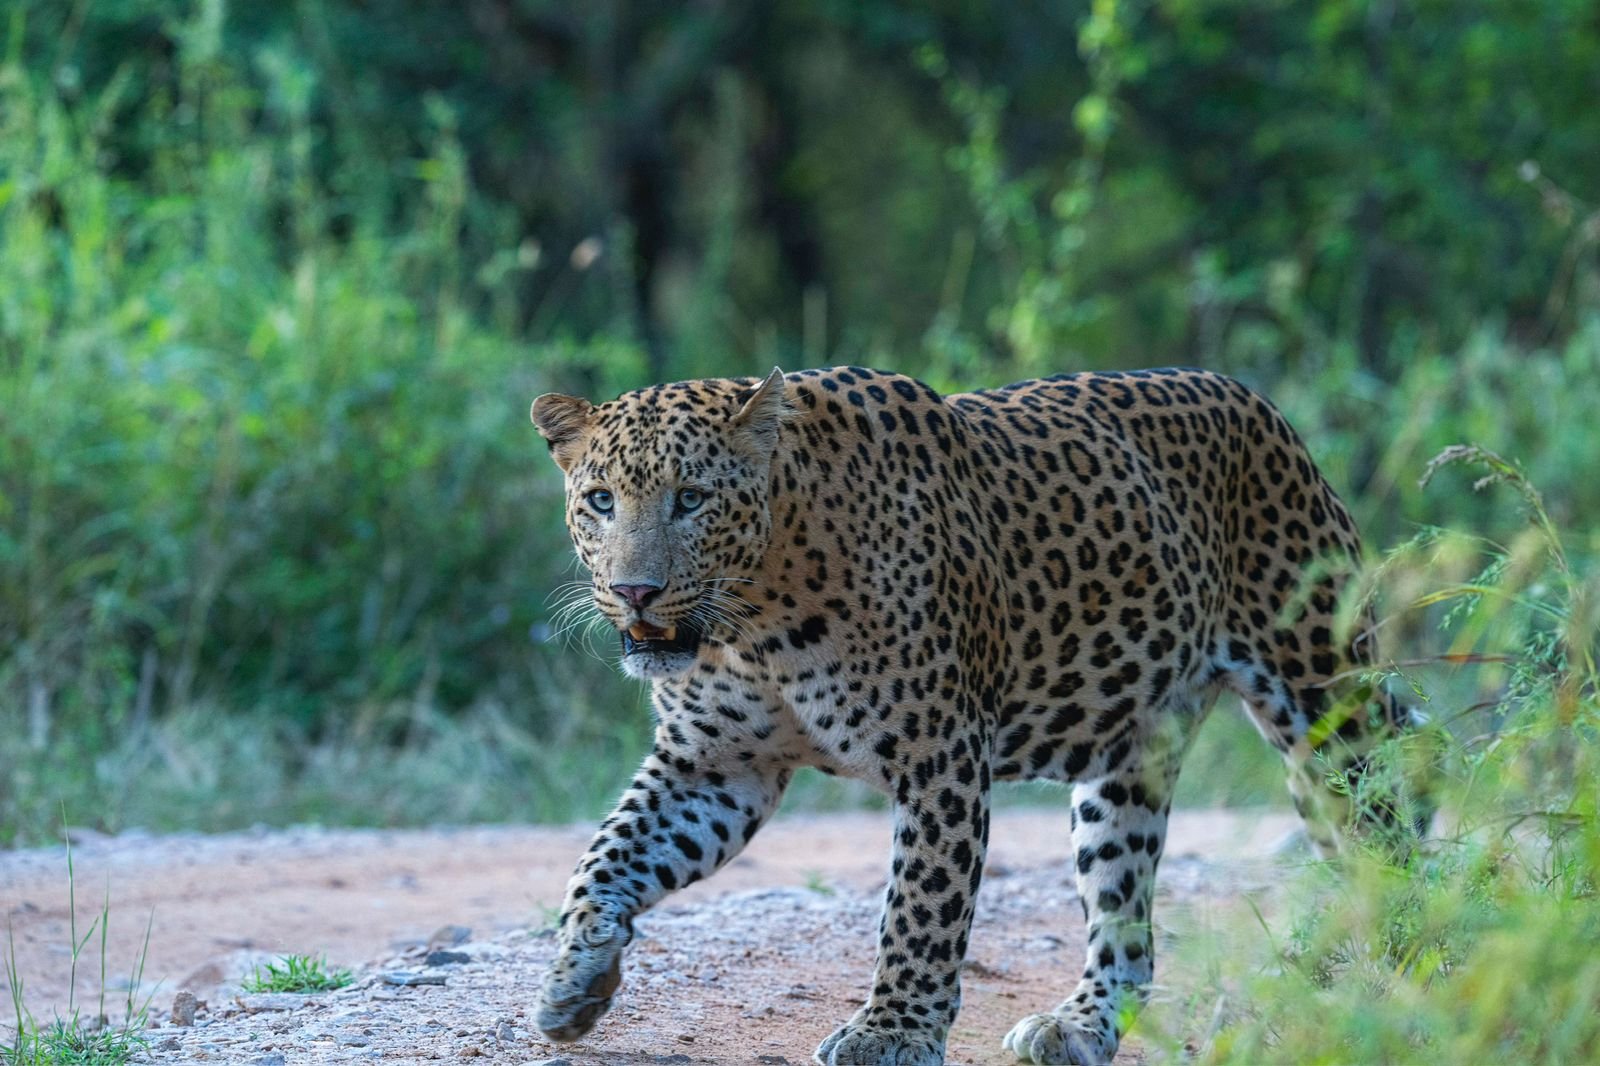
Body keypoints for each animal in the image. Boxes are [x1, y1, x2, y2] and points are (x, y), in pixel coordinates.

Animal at [528, 365, 1422, 1065]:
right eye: (601, 501)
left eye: (692, 499)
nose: (636, 591)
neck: (757, 619)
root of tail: (1257, 402)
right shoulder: (714, 765)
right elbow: (603, 858)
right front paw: (575, 980)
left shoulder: (940, 753)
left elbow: (922, 904)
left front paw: (891, 1032)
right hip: (1127, 762)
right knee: (1126, 920)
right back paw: (1079, 1026)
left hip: (1326, 703)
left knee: (1387, 842)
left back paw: (1406, 976)